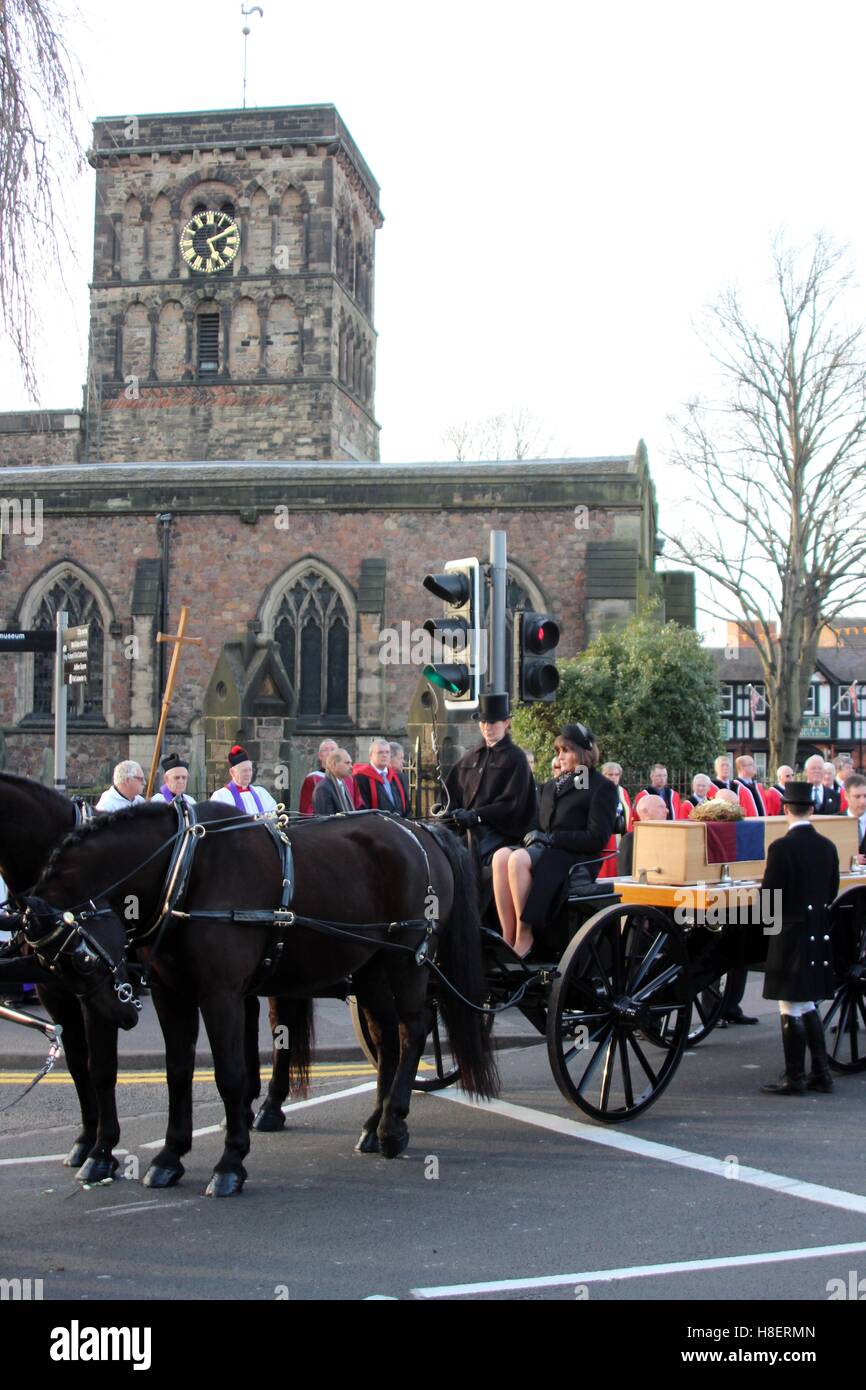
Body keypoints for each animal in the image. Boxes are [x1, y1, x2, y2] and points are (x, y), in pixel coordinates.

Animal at [27, 806, 497, 1195]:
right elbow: (178, 1073)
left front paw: (231, 1162)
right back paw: (373, 1124)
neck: (184, 868)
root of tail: (420, 828)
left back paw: (393, 1125)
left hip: (409, 957)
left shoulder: (221, 995)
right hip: (371, 966)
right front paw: (169, 1157)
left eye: (82, 959)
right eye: (51, 966)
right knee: (387, 1038)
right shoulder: (170, 993)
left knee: (413, 1027)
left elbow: (231, 1076)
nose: (123, 1015)